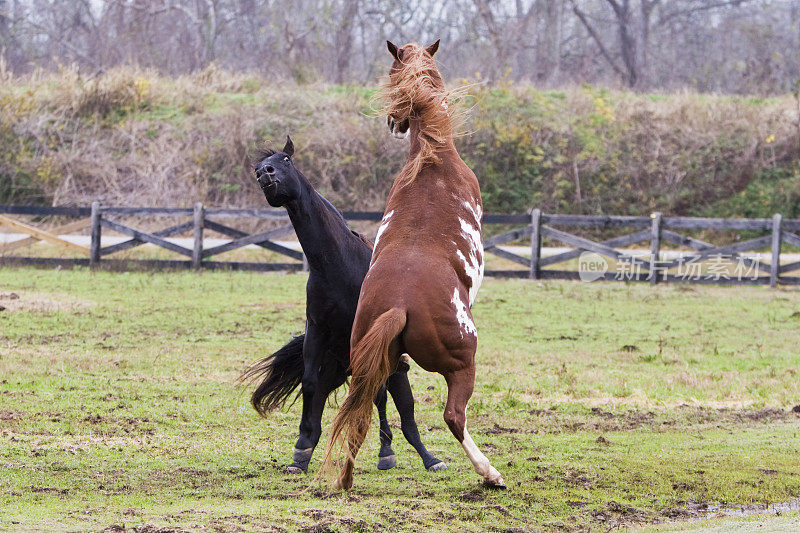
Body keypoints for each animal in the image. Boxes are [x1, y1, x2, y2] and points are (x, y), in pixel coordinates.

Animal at [244, 135, 444, 472]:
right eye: (257, 168)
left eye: (285, 159)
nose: (265, 175)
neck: (337, 266)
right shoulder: (317, 331)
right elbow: (310, 385)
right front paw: (301, 452)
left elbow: (381, 398)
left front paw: (386, 452)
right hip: (338, 368)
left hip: (392, 366)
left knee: (401, 407)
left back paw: (424, 457)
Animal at [322, 40, 504, 490]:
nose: (393, 122)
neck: (431, 160)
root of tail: (398, 306)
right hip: (462, 363)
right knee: (454, 416)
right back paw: (490, 473)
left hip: (372, 365)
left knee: (359, 417)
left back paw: (345, 481)